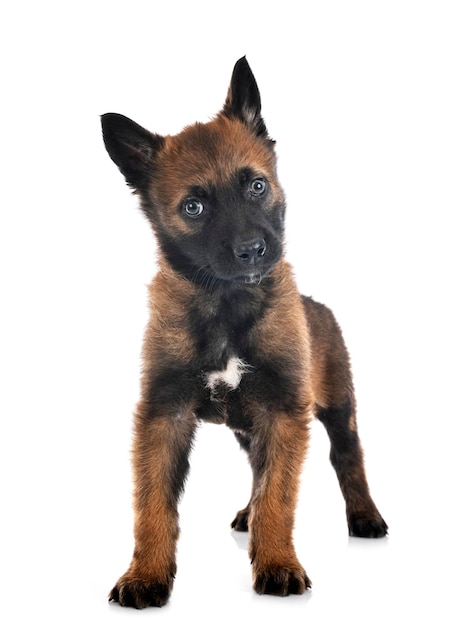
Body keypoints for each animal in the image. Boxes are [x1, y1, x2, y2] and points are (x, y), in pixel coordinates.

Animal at [100, 57, 386, 604]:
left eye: (256, 185)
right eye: (194, 207)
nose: (253, 251)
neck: (227, 307)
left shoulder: (284, 413)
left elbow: (279, 495)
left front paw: (277, 562)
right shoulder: (163, 416)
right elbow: (153, 504)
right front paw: (145, 574)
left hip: (336, 408)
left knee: (347, 457)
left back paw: (364, 515)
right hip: (249, 426)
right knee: (257, 470)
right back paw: (246, 515)